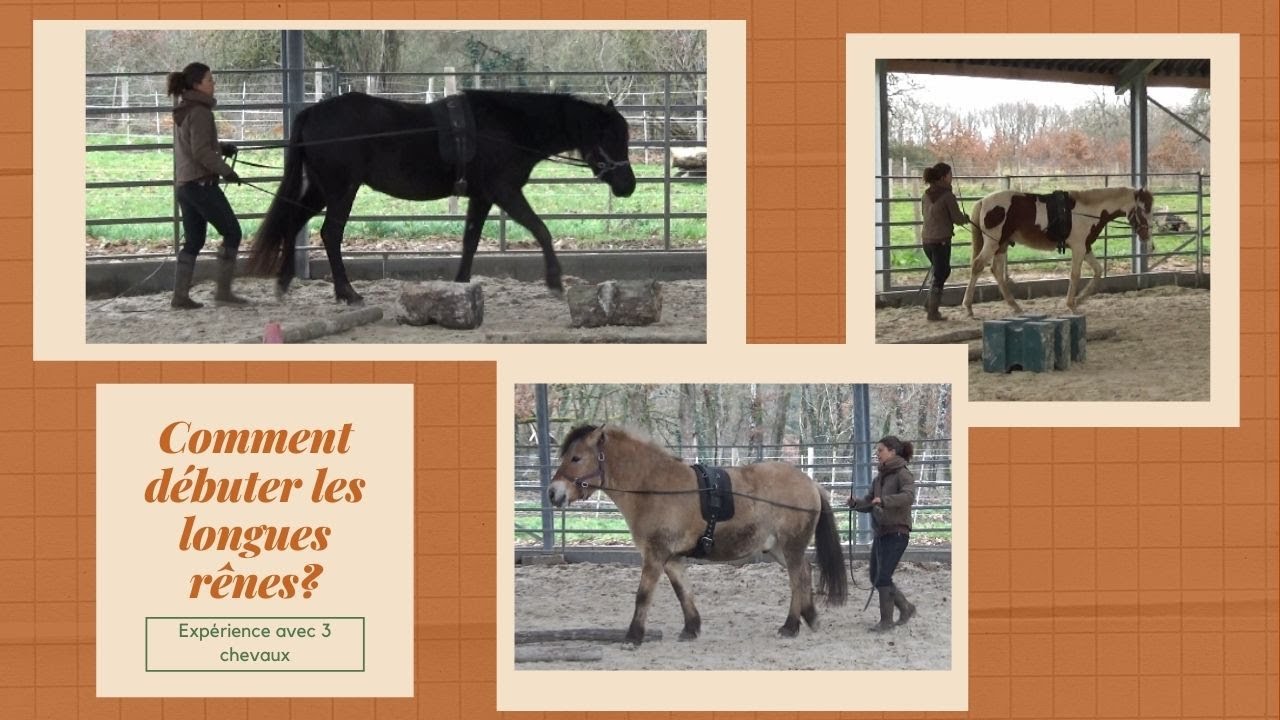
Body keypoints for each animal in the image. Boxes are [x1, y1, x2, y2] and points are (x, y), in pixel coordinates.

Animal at [246, 90, 636, 305]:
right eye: (611, 137)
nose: (628, 186)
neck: (508, 126)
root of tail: (312, 112)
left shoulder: (482, 196)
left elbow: (470, 241)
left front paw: (459, 289)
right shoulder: (505, 191)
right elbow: (541, 230)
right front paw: (554, 282)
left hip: (321, 189)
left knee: (293, 222)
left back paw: (284, 283)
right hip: (342, 190)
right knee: (330, 234)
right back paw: (347, 293)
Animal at [547, 424, 848, 645]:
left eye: (576, 458)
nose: (553, 493)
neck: (654, 487)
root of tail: (810, 483)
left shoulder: (655, 555)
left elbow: (643, 595)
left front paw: (633, 636)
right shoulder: (672, 559)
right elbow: (684, 593)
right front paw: (691, 628)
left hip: (791, 546)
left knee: (797, 579)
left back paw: (791, 625)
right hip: (777, 549)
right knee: (805, 573)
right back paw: (809, 617)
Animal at [960, 186, 1154, 316]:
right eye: (1143, 210)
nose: (1147, 239)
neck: (1086, 212)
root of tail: (983, 201)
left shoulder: (1086, 248)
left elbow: (1098, 272)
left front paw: (1079, 300)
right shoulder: (1078, 248)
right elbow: (1075, 275)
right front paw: (1071, 305)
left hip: (1002, 244)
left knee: (997, 271)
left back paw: (1015, 306)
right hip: (993, 243)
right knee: (978, 265)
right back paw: (968, 307)